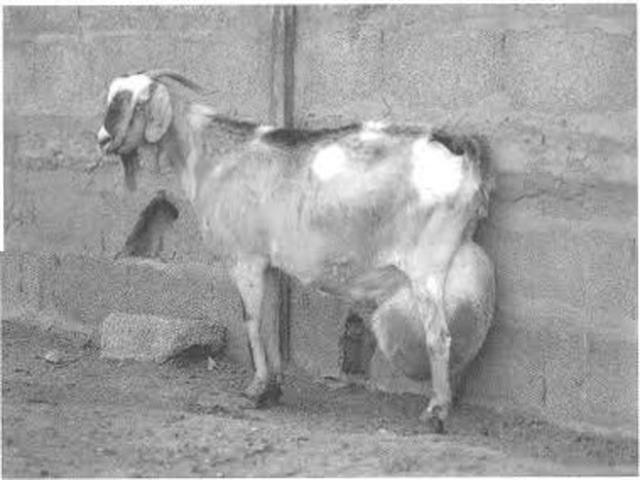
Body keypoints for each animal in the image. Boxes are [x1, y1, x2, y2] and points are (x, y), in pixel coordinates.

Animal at [97, 69, 495, 432]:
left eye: (126, 101)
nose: (101, 140)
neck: (213, 155)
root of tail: (458, 147)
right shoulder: (271, 264)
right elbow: (271, 323)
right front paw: (274, 388)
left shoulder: (245, 258)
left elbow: (252, 321)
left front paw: (256, 390)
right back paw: (450, 400)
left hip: (427, 265)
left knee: (439, 336)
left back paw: (436, 412)